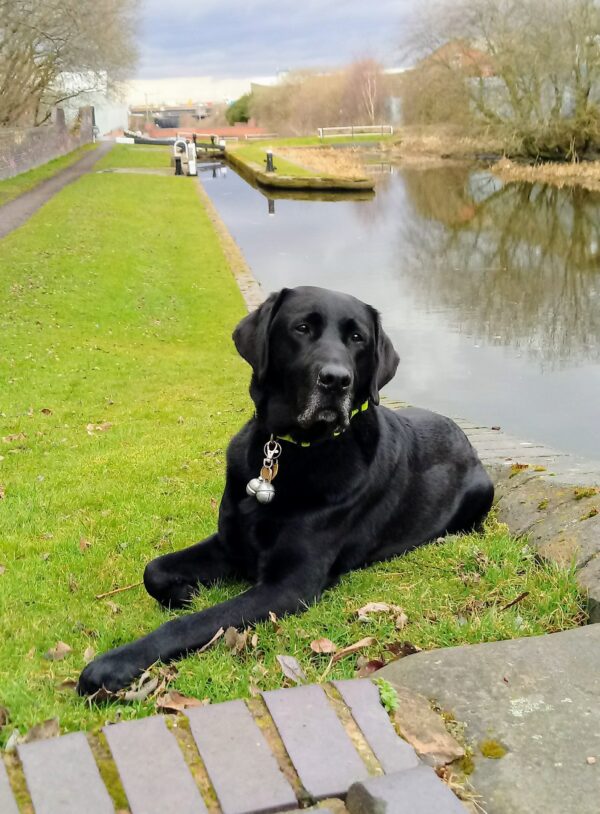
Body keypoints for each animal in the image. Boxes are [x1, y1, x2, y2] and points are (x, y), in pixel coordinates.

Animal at [77, 286, 494, 696]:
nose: (336, 380)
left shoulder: (288, 586)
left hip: (482, 490)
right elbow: (154, 570)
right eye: (302, 328)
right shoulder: (231, 542)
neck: (291, 450)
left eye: (357, 338)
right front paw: (185, 592)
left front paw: (114, 664)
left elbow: (196, 622)